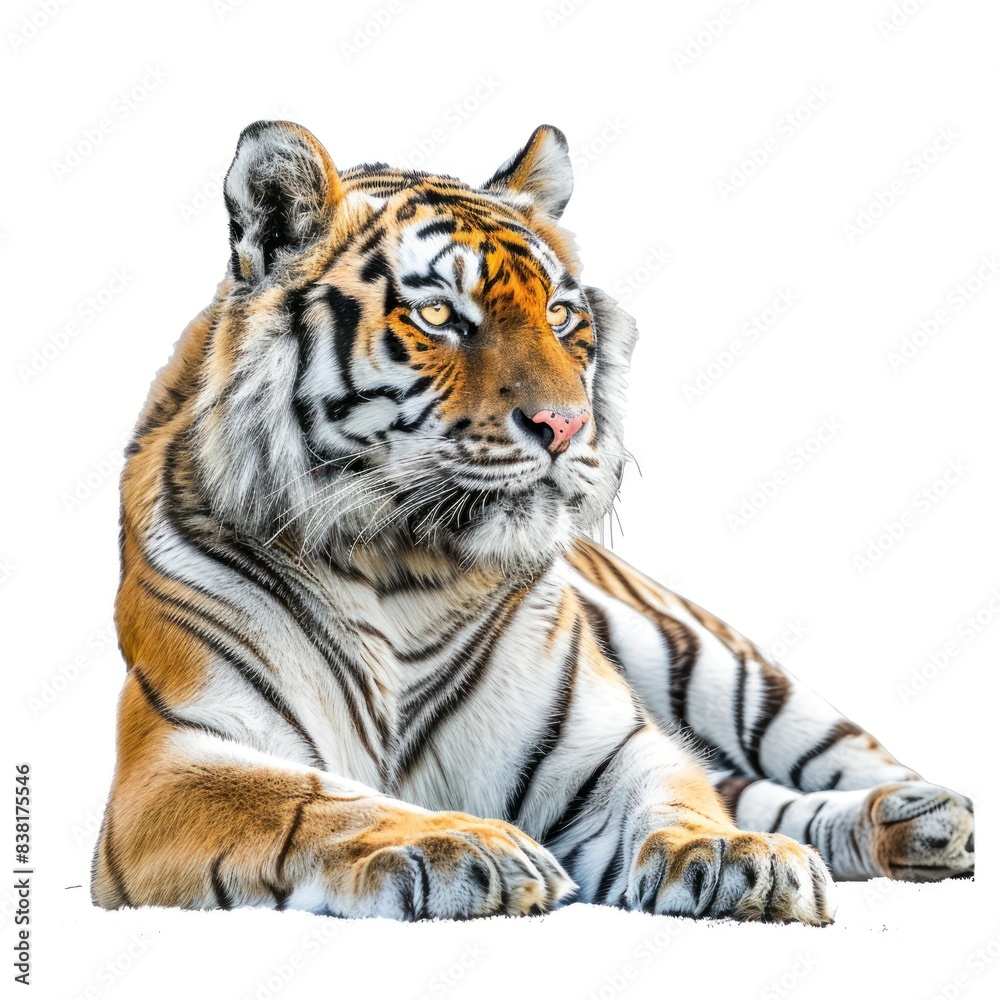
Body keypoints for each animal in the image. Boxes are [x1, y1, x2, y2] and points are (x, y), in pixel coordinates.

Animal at [92, 120, 975, 925]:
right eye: (438, 314)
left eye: (560, 313)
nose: (567, 425)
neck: (401, 566)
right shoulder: (178, 759)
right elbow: (318, 803)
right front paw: (462, 842)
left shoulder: (610, 745)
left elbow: (682, 794)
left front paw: (732, 855)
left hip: (717, 663)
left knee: (821, 755)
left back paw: (927, 818)